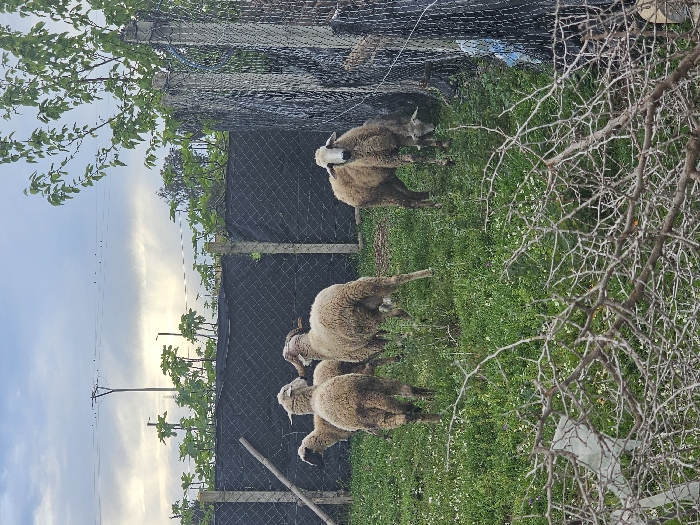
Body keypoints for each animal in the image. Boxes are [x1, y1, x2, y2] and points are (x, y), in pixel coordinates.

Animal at [277, 374, 440, 467]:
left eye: (286, 389)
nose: (303, 377)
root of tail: (358, 397)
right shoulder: (367, 426)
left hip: (376, 389)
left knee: (407, 398)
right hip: (378, 405)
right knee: (406, 402)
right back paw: (434, 410)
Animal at [282, 269, 433, 377]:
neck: (313, 345)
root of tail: (345, 297)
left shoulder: (367, 346)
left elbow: (392, 341)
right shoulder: (374, 336)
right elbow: (393, 337)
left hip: (365, 321)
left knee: (395, 310)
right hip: (370, 291)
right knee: (395, 282)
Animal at [315, 109, 451, 178]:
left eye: (330, 146)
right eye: (330, 166)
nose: (345, 155)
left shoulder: (396, 138)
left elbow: (421, 143)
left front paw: (444, 145)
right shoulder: (393, 158)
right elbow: (414, 156)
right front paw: (443, 161)